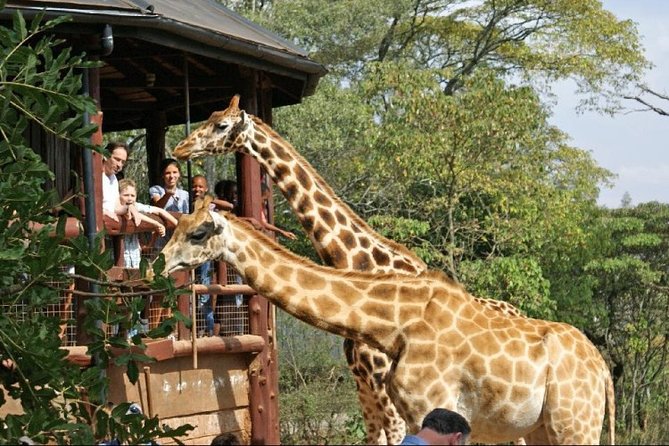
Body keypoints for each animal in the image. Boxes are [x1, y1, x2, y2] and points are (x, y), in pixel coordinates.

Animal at [159, 197, 616, 445]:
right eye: (176, 226)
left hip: (575, 423)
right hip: (543, 426)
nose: (160, 262)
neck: (395, 322)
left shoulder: (434, 408)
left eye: (198, 233)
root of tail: (604, 371)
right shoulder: (412, 413)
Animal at [172, 95, 525, 444]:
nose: (180, 148)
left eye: (221, 125)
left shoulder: (386, 387)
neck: (358, 262)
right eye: (208, 116)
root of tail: (518, 311)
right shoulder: (362, 383)